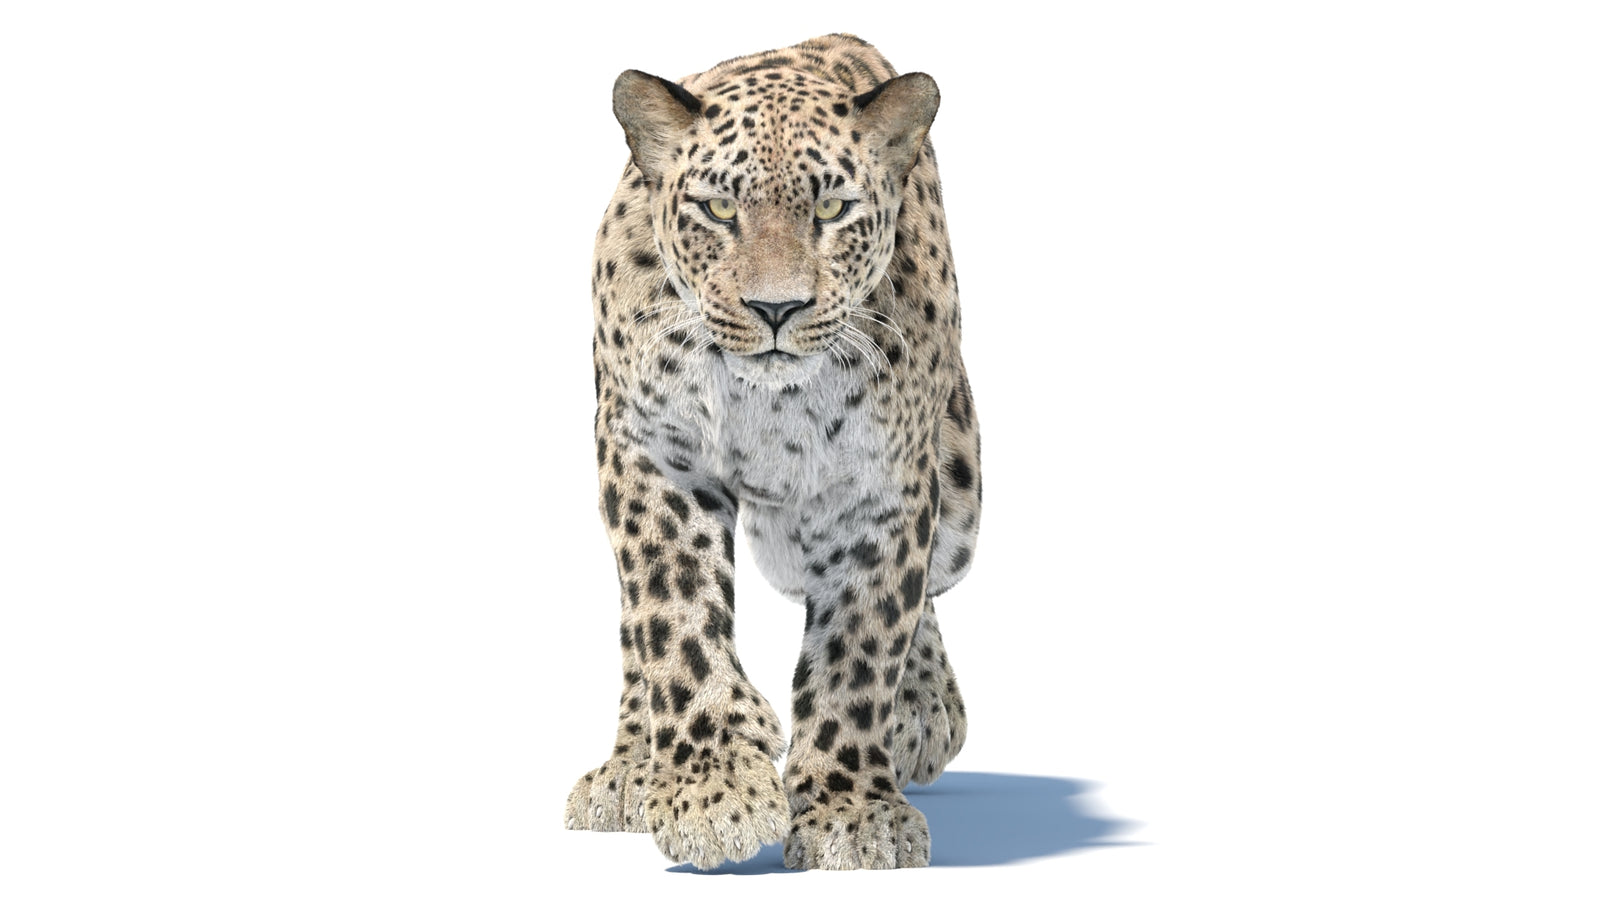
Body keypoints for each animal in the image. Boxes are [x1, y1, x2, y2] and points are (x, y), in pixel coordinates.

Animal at [564, 33, 982, 871]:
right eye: (719, 209)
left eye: (832, 209)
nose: (777, 308)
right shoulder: (651, 453)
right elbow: (674, 618)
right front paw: (714, 788)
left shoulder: (881, 491)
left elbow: (863, 647)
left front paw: (851, 812)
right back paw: (631, 767)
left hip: (956, 496)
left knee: (928, 588)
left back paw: (923, 712)